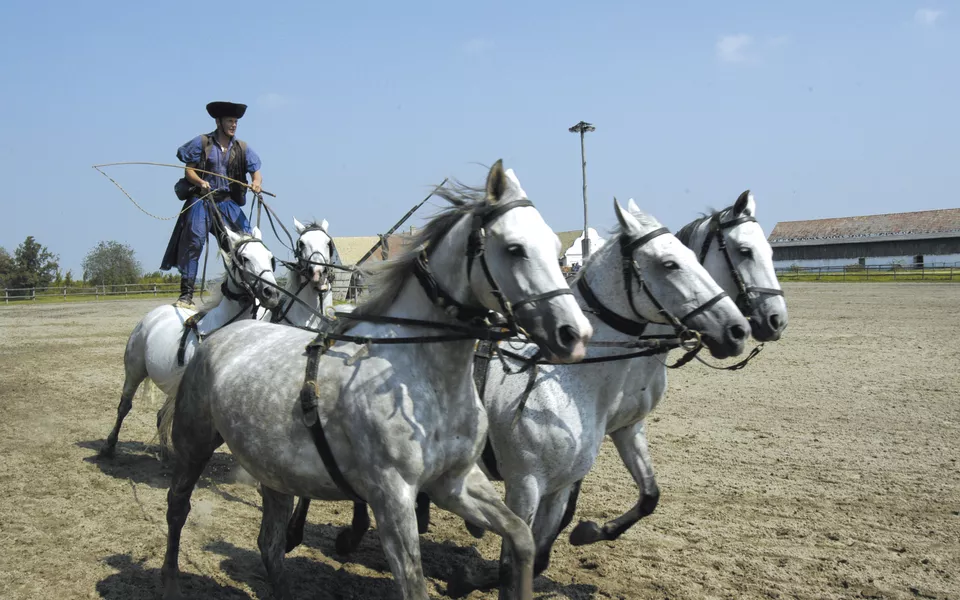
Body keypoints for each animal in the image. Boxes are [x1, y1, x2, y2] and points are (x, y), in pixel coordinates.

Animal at [98, 226, 282, 460]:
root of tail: (153, 315)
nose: (272, 294)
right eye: (244, 258)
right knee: (124, 406)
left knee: (160, 416)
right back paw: (109, 446)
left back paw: (166, 455)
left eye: (271, 258)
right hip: (134, 371)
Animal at [158, 159, 592, 600]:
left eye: (555, 247)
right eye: (515, 249)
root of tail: (221, 335)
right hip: (194, 443)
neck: (421, 374)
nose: (574, 334)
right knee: (178, 507)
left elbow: (522, 540)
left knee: (270, 544)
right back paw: (170, 579)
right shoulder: (392, 497)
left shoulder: (455, 482)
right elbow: (413, 583)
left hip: (274, 472)